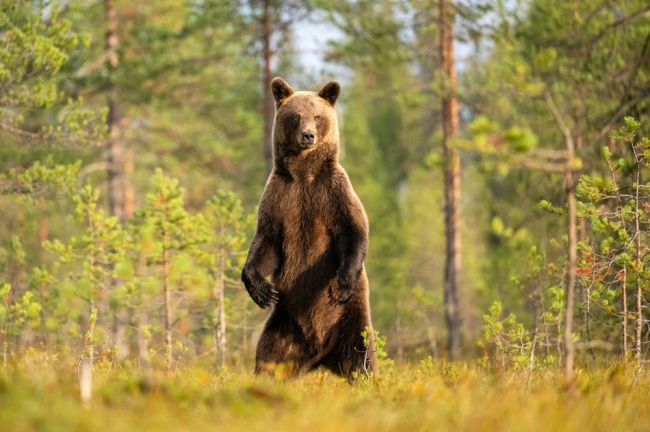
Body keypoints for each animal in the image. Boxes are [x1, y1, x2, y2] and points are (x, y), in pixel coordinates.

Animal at [242, 77, 374, 378]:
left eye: (317, 116)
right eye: (295, 116)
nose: (308, 136)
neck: (304, 174)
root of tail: (320, 355)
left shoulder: (332, 193)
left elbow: (354, 230)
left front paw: (340, 285)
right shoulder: (280, 198)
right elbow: (266, 243)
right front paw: (261, 290)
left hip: (351, 317)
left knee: (360, 353)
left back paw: (365, 375)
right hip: (283, 325)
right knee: (268, 357)